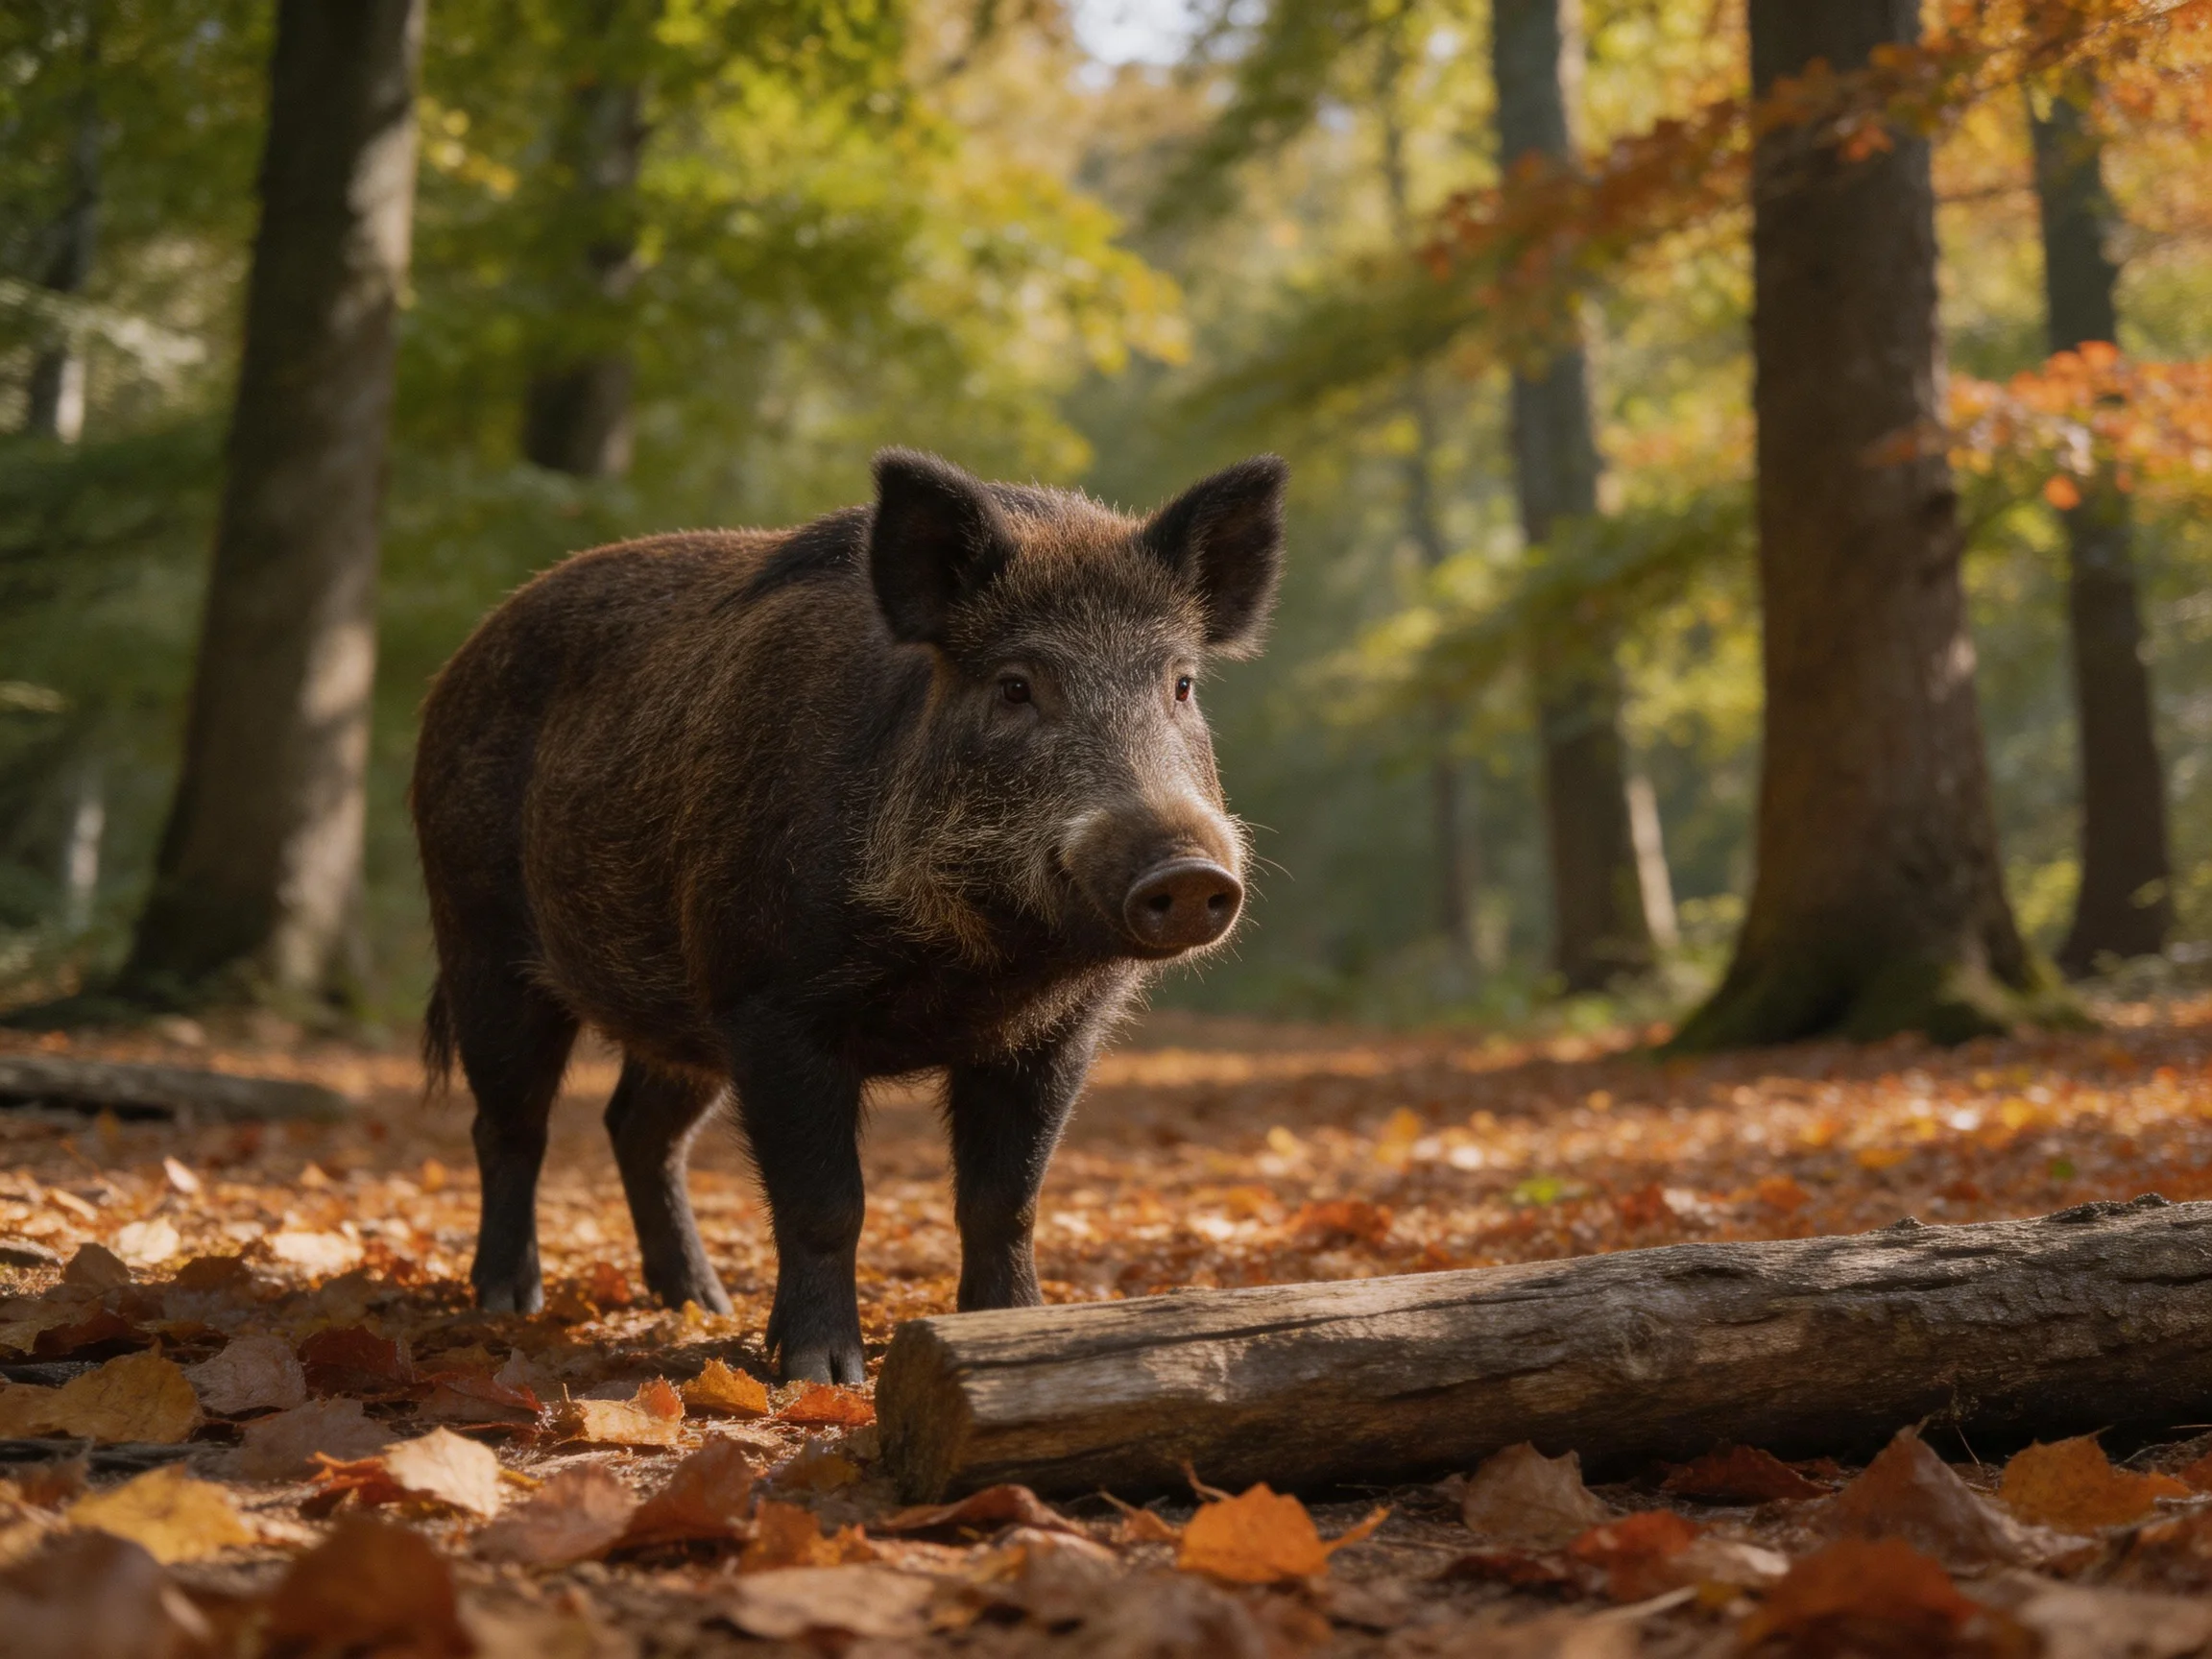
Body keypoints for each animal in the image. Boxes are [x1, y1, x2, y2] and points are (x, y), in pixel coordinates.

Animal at [410, 448, 1287, 1381]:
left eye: (1181, 685)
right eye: (1015, 686)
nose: (1188, 871)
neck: (977, 964)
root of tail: (459, 663)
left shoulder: (1055, 1032)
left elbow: (1005, 1199)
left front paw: (1009, 1334)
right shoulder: (770, 1000)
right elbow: (828, 1202)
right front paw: (821, 1374)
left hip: (682, 1014)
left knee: (638, 1129)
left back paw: (697, 1302)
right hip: (482, 943)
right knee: (510, 1125)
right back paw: (508, 1303)